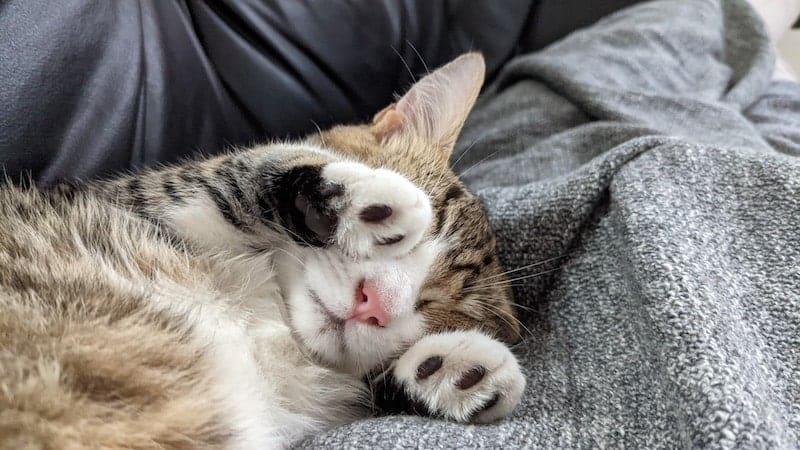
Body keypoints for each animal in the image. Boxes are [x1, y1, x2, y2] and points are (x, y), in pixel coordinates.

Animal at [1, 53, 524, 450]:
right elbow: (247, 168)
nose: (373, 302)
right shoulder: (143, 198)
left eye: (436, 308)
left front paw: (450, 368)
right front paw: (371, 200)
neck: (270, 315)